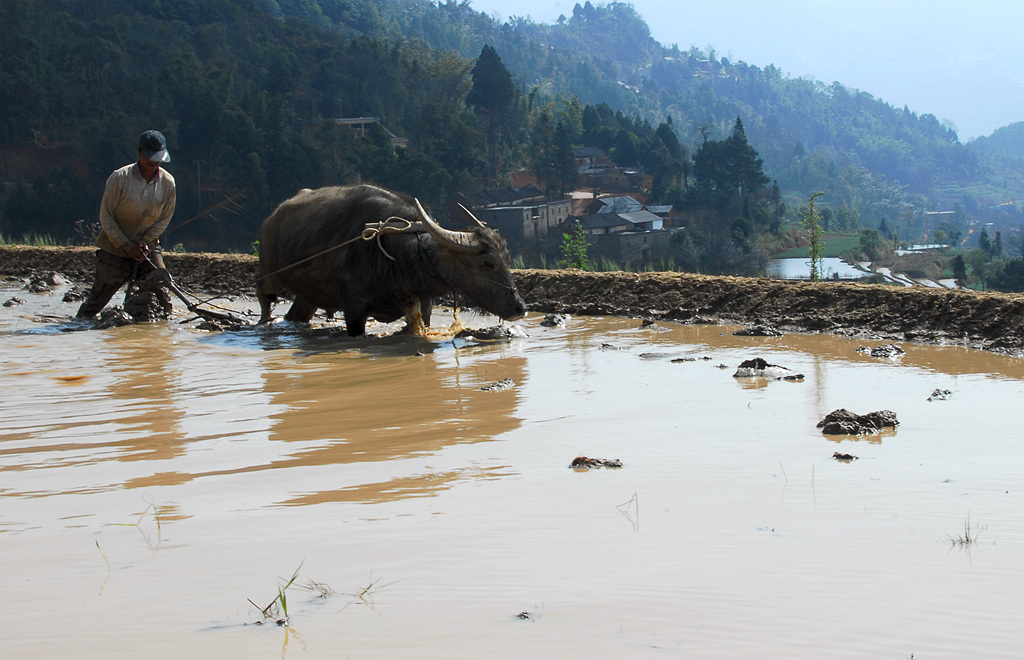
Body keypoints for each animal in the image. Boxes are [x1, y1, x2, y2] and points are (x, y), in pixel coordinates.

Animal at [252, 183, 524, 335]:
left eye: (506, 259)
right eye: (487, 263)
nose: (519, 307)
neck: (401, 258)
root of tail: (272, 217)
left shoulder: (421, 307)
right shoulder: (354, 310)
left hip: (309, 293)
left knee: (297, 313)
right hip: (270, 272)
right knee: (263, 294)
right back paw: (264, 321)